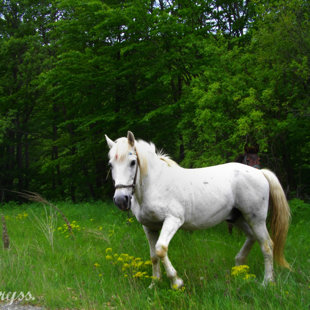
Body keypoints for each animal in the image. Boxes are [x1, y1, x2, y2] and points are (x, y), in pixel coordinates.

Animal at [106, 131, 290, 288]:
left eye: (132, 162)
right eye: (111, 165)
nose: (121, 200)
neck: (154, 184)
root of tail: (260, 173)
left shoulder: (173, 220)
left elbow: (160, 249)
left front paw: (176, 281)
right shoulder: (149, 227)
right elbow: (153, 256)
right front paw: (154, 283)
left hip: (256, 219)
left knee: (267, 245)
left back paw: (267, 282)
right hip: (237, 218)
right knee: (252, 237)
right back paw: (238, 268)